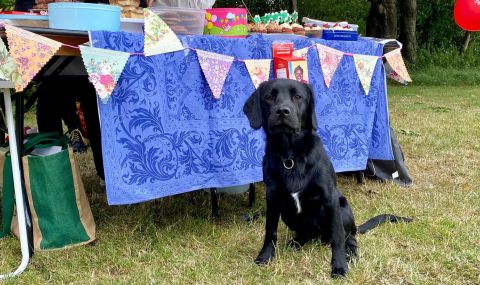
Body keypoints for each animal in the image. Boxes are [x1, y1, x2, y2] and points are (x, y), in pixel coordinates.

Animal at [244, 79, 412, 276]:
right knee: (305, 235)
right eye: (269, 96)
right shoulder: (273, 198)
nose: (282, 111)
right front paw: (265, 256)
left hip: (343, 208)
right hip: (287, 214)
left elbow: (337, 237)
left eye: (298, 96)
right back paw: (294, 243)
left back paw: (351, 254)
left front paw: (339, 265)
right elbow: (270, 230)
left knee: (349, 238)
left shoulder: (329, 199)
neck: (291, 156)